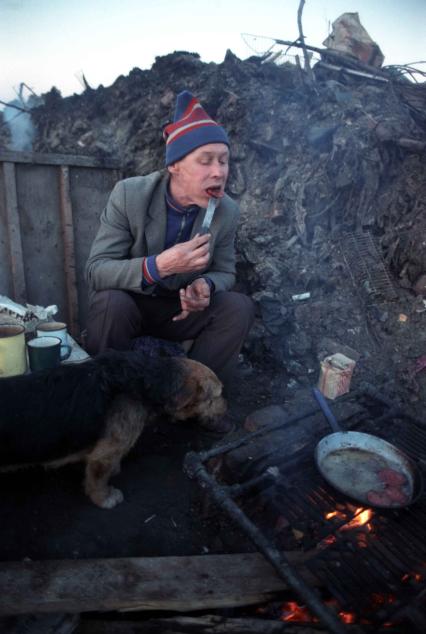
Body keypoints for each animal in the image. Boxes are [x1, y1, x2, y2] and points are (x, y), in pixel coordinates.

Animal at [0, 350, 226, 508]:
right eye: (214, 397)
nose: (227, 412)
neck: (145, 380)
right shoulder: (105, 453)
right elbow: (98, 478)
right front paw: (104, 498)